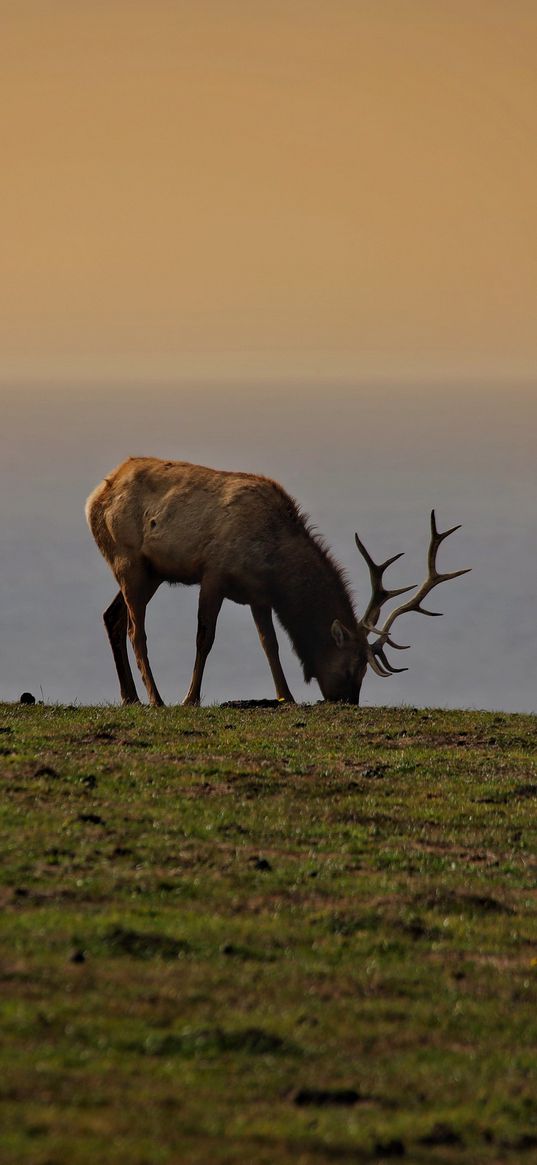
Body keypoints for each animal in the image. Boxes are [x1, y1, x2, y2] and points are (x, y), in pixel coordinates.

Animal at [85, 459, 468, 703]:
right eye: (353, 667)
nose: (348, 702)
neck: (275, 565)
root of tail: (94, 497)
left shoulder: (258, 595)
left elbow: (270, 644)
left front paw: (286, 696)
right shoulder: (214, 573)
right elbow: (204, 638)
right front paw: (190, 699)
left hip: (151, 573)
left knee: (112, 617)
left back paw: (130, 697)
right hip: (129, 559)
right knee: (136, 630)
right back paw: (156, 698)